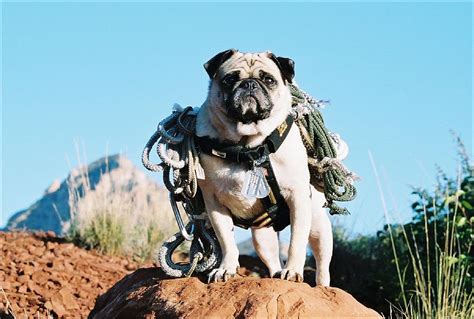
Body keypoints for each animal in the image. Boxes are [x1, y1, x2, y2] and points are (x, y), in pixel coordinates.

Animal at [194, 50, 332, 288]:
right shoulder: (214, 203)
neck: (247, 146)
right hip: (262, 235)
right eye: (230, 79)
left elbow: (296, 241)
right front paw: (226, 269)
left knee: (321, 258)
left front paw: (293, 271)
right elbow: (226, 241)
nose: (249, 84)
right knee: (271, 256)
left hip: (318, 225)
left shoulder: (298, 198)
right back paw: (276, 273)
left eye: (268, 80)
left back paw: (322, 286)